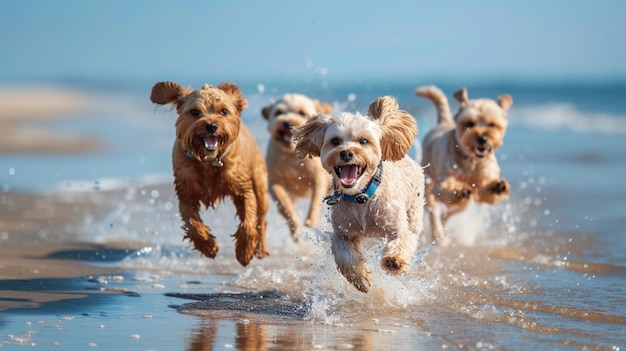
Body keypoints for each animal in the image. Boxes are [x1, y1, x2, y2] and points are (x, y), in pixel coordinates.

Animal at [260, 93, 334, 242]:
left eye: (301, 112)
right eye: (278, 112)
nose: (287, 122)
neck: (292, 155)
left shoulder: (318, 179)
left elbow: (315, 201)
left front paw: (310, 224)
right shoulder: (275, 182)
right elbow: (284, 205)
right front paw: (295, 228)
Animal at [292, 96, 424, 294]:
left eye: (363, 141)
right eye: (335, 141)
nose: (346, 153)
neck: (360, 196)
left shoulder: (396, 225)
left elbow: (402, 238)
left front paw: (394, 261)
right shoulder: (343, 233)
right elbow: (345, 254)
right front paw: (360, 277)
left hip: (414, 211)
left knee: (414, 231)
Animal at [414, 86, 512, 243]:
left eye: (492, 124)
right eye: (469, 123)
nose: (482, 139)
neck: (472, 161)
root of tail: (443, 122)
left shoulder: (484, 179)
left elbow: (485, 191)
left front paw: (497, 187)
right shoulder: (442, 184)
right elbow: (447, 189)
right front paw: (459, 189)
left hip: (462, 205)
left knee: (448, 213)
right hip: (428, 183)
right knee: (433, 209)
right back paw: (437, 233)